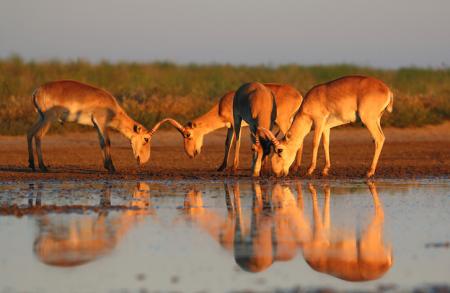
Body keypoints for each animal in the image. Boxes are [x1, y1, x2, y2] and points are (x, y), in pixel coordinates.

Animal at [26, 80, 164, 172]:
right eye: (146, 138)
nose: (144, 160)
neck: (111, 107)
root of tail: (37, 91)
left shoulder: (96, 125)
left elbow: (101, 143)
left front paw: (106, 166)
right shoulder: (101, 123)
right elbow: (108, 142)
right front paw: (112, 167)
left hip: (41, 117)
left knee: (29, 132)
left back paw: (32, 164)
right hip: (48, 118)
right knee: (38, 136)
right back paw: (43, 167)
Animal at [158, 83, 302, 171]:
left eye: (188, 134)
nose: (191, 154)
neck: (221, 106)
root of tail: (298, 95)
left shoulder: (235, 123)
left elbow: (235, 142)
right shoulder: (230, 127)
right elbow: (227, 143)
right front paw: (222, 167)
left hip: (283, 121)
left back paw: (295, 167)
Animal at [260, 74, 394, 176]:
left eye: (280, 150)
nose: (277, 173)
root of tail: (387, 90)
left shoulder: (319, 122)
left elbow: (315, 143)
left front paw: (310, 170)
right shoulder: (326, 127)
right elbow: (326, 144)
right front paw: (325, 170)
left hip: (368, 120)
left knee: (379, 138)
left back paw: (369, 172)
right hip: (376, 120)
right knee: (380, 138)